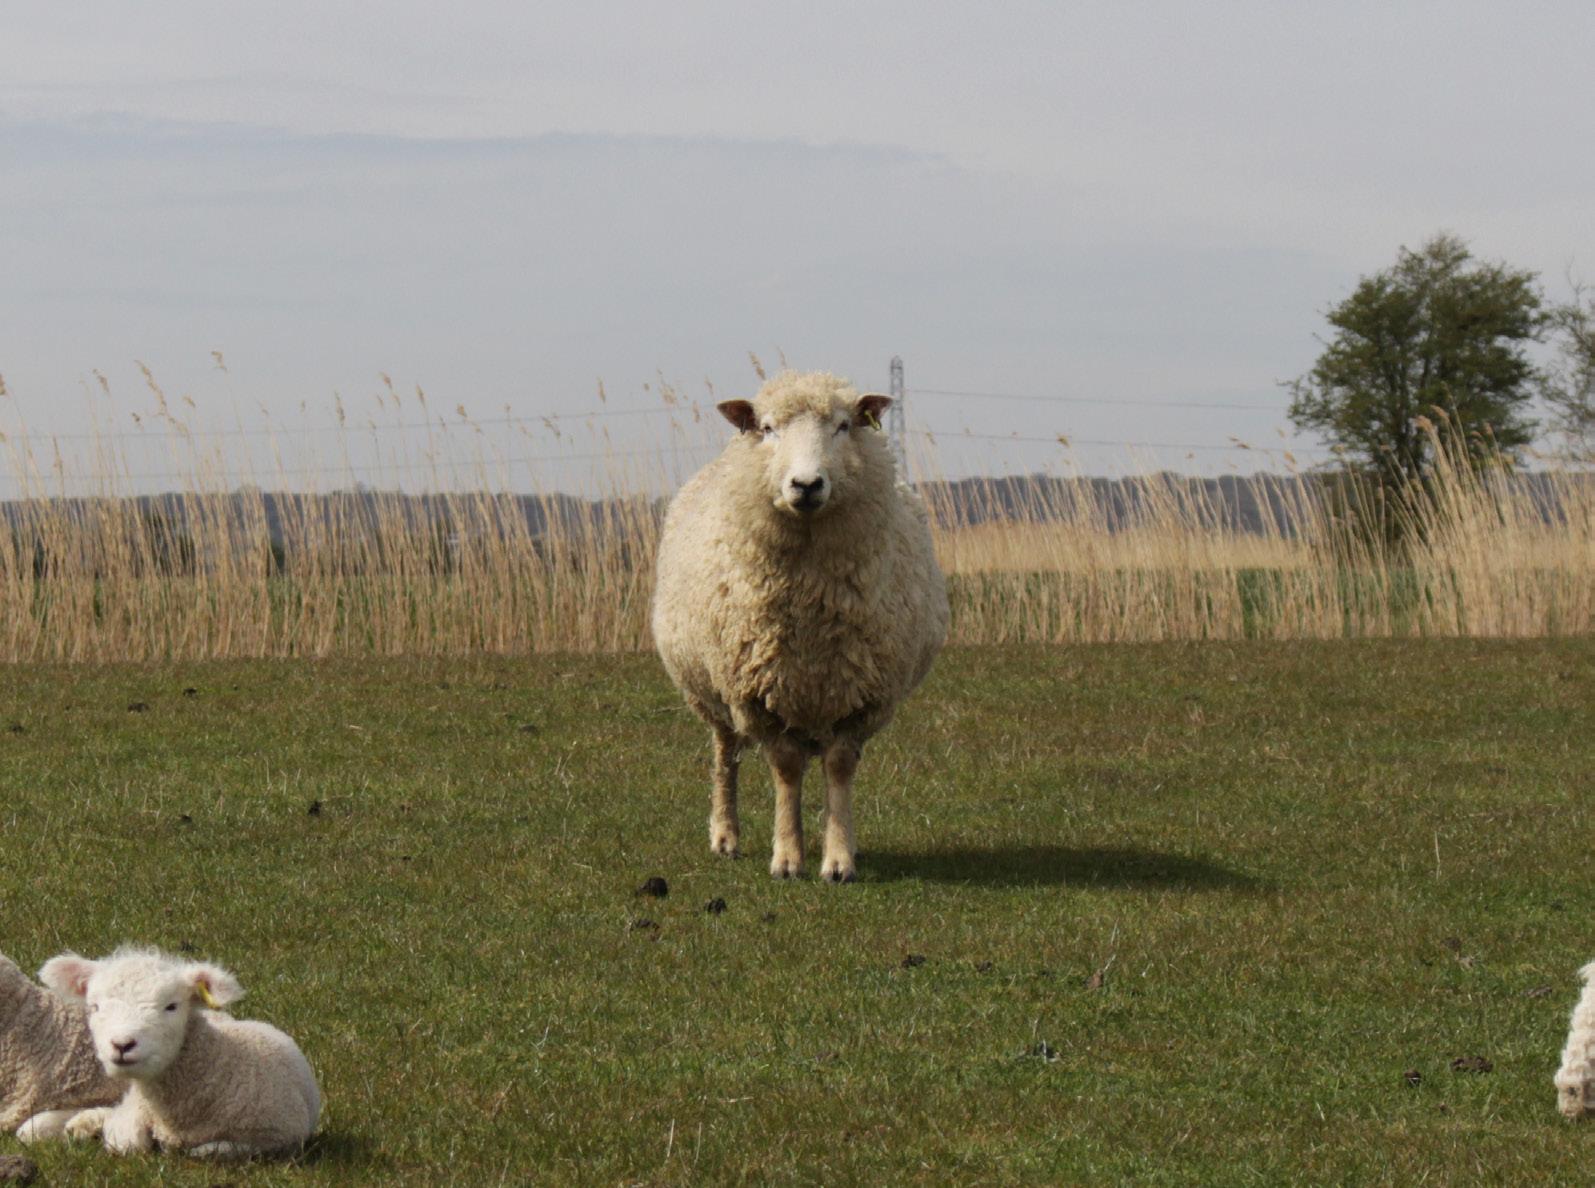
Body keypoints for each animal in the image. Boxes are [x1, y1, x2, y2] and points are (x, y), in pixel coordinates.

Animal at [38, 947, 320, 1160]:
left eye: (171, 1006)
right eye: (95, 1007)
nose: (122, 1044)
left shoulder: (283, 1137)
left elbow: (211, 1150)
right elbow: (127, 1142)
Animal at [652, 370, 948, 882]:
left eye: (844, 426)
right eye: (768, 428)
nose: (806, 484)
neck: (810, 603)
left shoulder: (861, 696)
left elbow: (840, 767)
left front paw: (838, 858)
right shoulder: (758, 693)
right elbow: (787, 768)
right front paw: (788, 857)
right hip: (712, 693)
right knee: (725, 755)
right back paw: (725, 835)